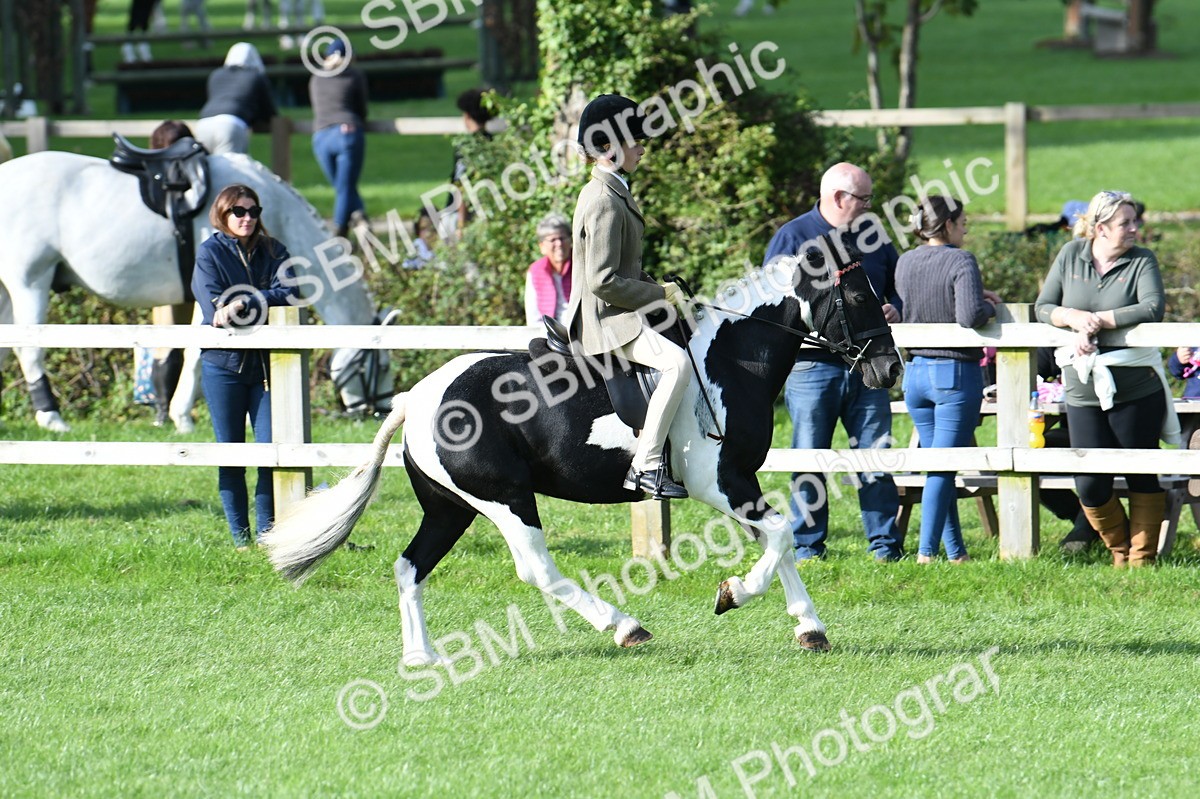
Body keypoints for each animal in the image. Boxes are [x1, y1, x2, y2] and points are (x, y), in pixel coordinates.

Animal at [0, 149, 393, 433]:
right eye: (383, 364)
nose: (382, 410)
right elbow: (193, 354)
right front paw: (182, 416)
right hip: (30, 285)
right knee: (28, 350)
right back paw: (52, 417)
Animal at [262, 242, 903, 663]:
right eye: (855, 293)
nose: (890, 368)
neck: (729, 358)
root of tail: (415, 397)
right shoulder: (720, 481)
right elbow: (780, 535)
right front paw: (734, 594)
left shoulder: (738, 479)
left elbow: (781, 541)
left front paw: (809, 629)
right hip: (506, 499)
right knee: (536, 568)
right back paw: (624, 627)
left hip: (451, 507)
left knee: (410, 565)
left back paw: (420, 657)